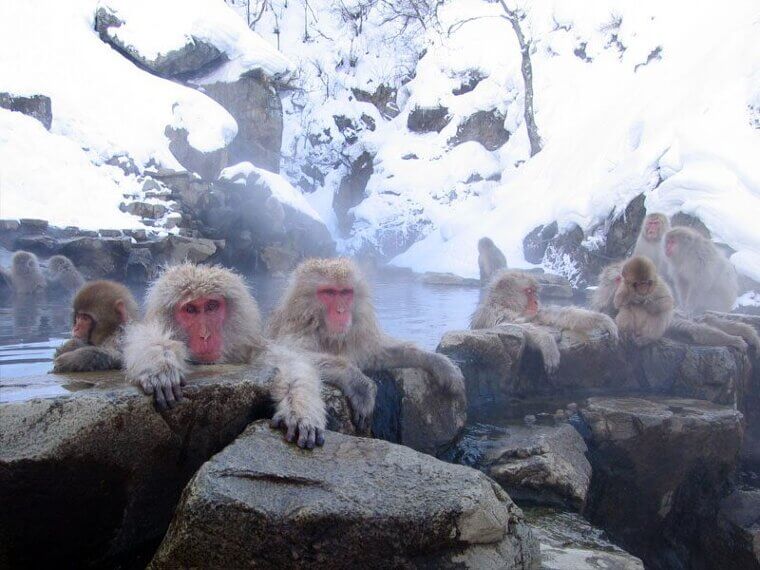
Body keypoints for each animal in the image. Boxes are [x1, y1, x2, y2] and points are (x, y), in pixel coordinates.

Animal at [123, 263, 326, 449]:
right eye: (190, 310)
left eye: (212, 306)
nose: (205, 335)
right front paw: (160, 364)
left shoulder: (253, 349)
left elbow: (290, 362)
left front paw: (300, 411)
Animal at [267, 258, 466, 430]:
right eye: (329, 292)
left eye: (345, 292)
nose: (341, 311)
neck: (326, 333)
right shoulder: (296, 330)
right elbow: (288, 354)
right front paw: (359, 384)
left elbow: (377, 355)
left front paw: (438, 362)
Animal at [470, 269, 618, 375]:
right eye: (529, 291)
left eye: (534, 292)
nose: (536, 301)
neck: (508, 306)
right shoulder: (494, 314)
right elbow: (509, 325)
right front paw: (546, 342)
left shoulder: (534, 312)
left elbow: (557, 315)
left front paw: (603, 320)